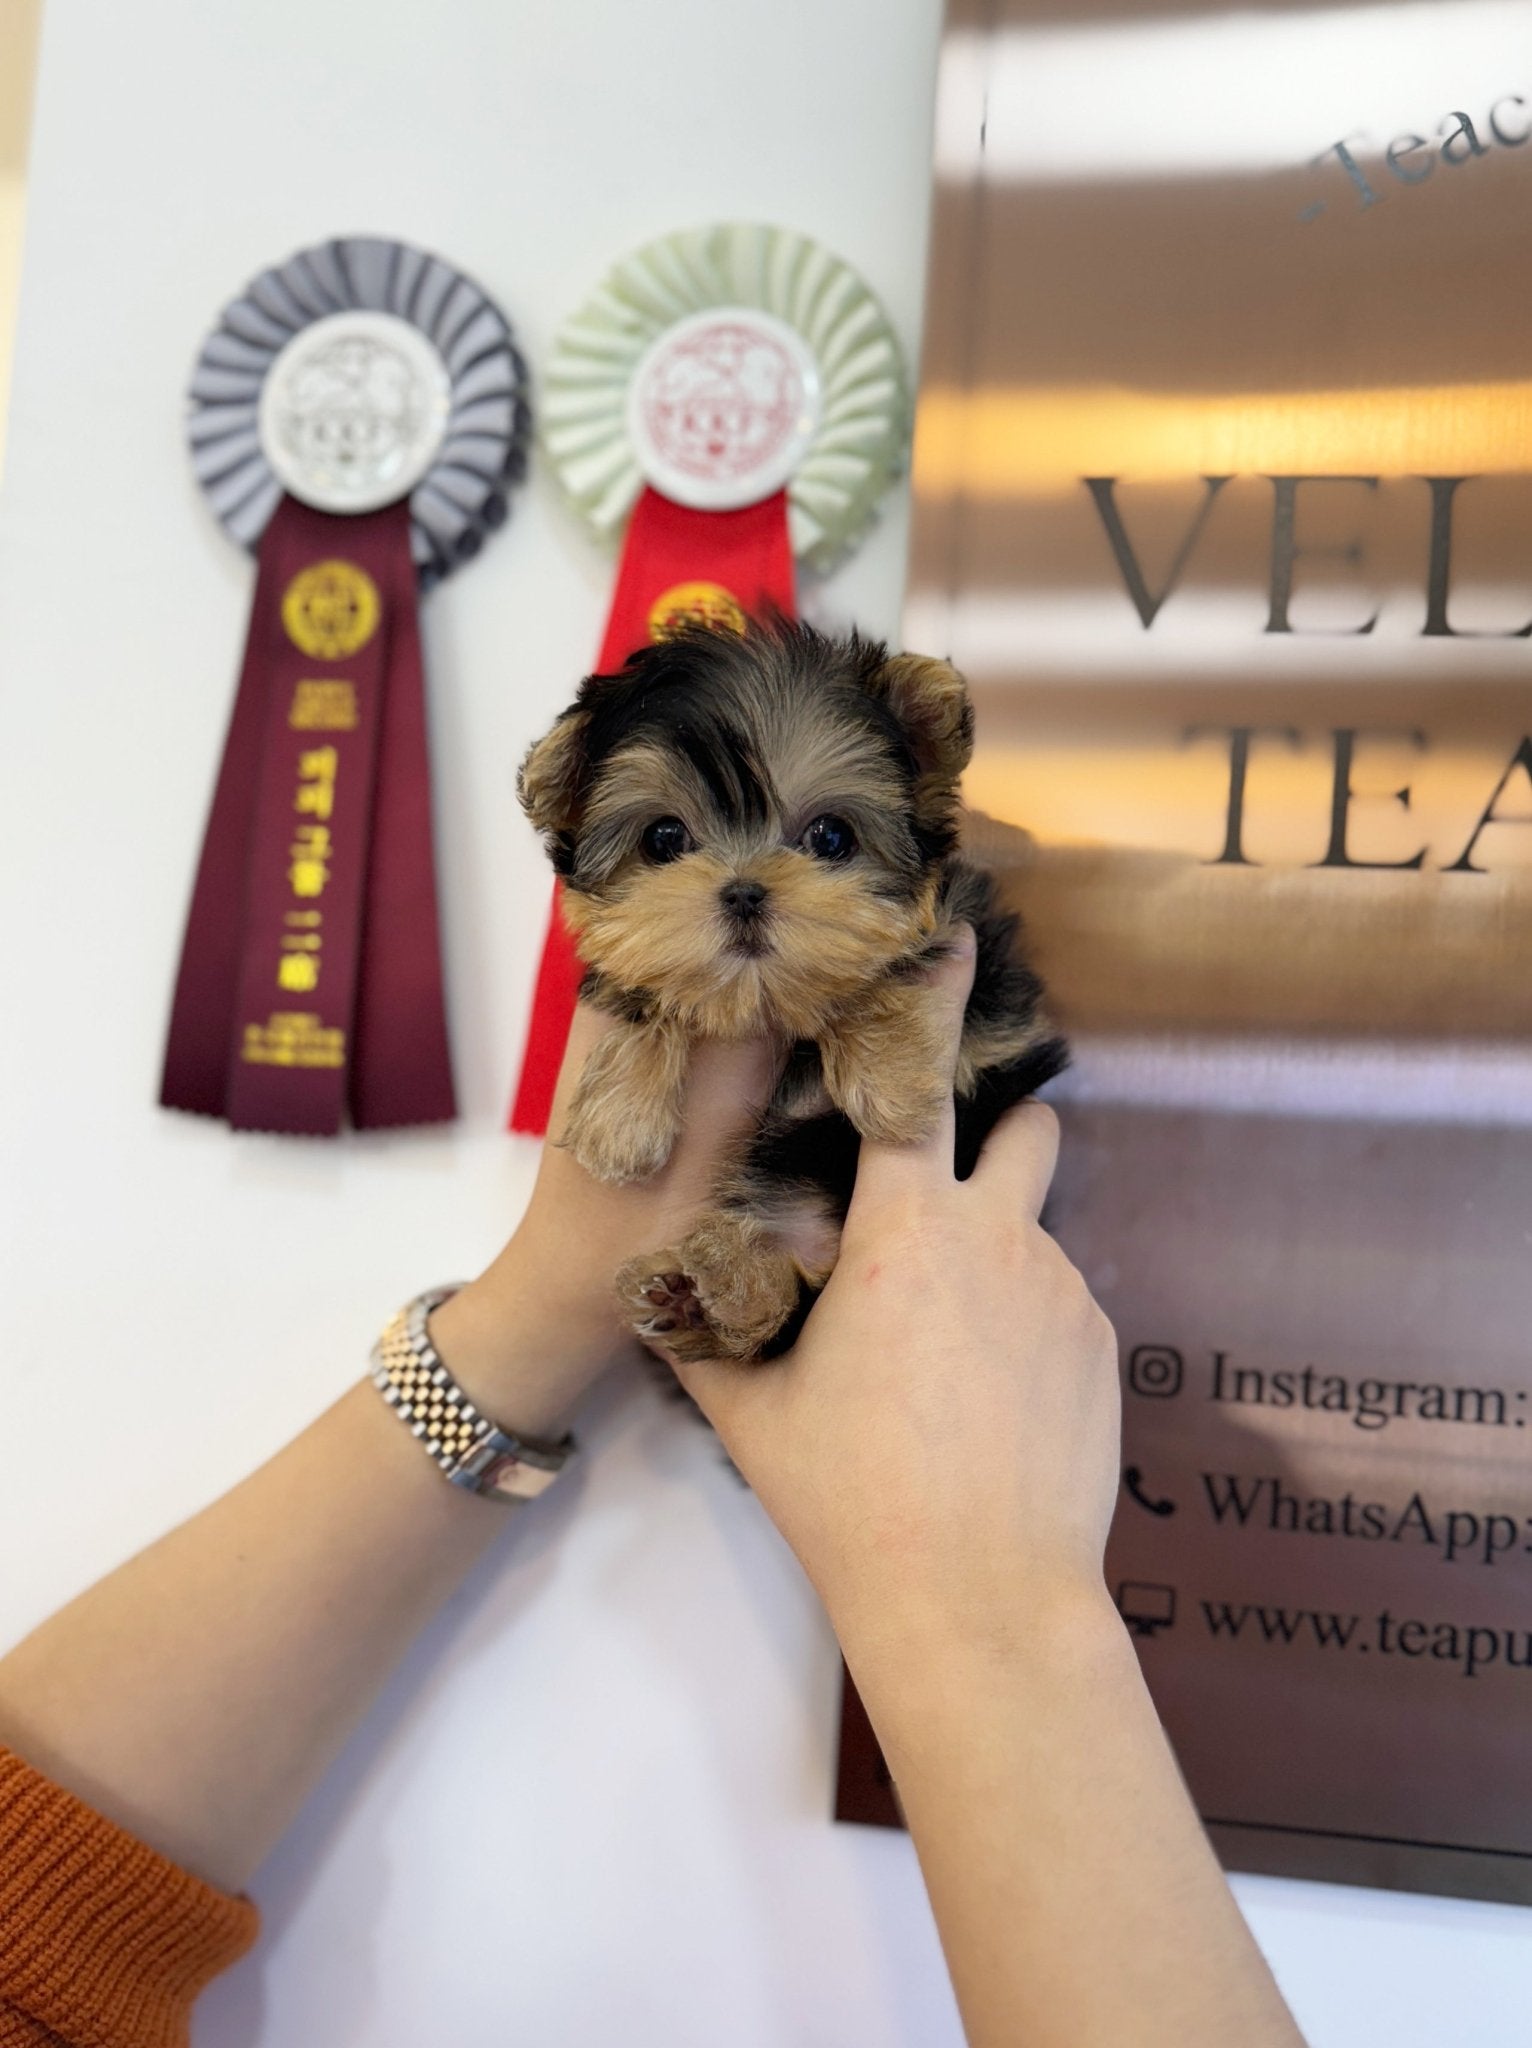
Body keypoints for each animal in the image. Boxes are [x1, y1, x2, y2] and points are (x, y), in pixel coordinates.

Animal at [520, 614, 1073, 1368]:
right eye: (664, 838)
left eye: (831, 836)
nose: (745, 891)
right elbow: (644, 983)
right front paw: (621, 1120)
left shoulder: (983, 971)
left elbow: (887, 965)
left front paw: (888, 1082)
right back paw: (696, 1295)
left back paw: (725, 1288)